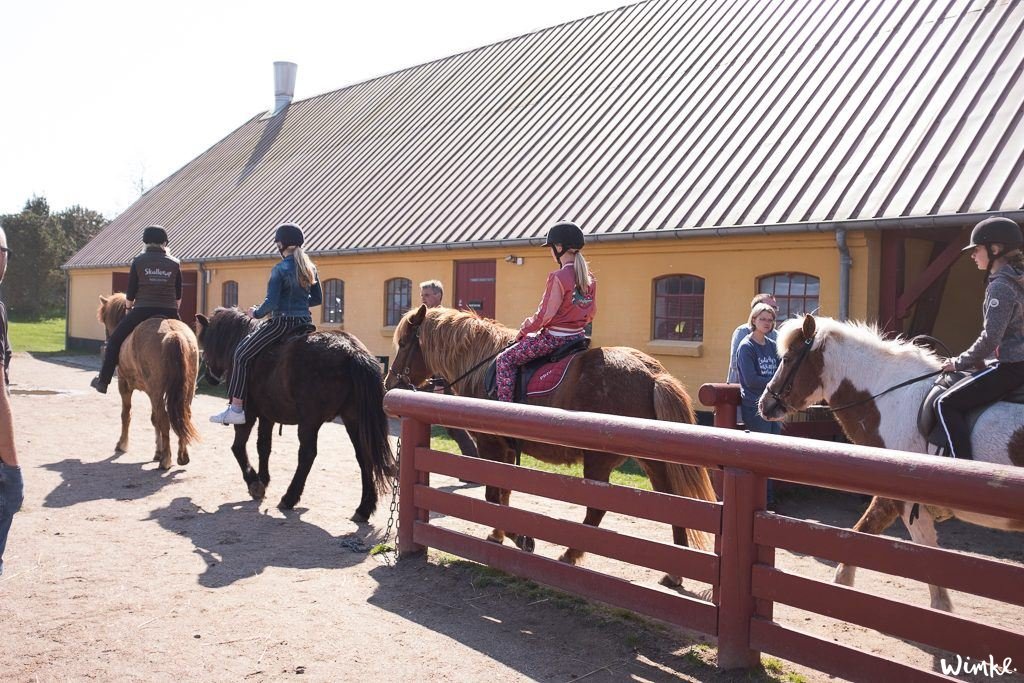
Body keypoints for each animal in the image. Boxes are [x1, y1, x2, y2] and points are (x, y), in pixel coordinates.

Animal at [97, 294, 199, 471]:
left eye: (104, 318)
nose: (106, 339)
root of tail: (173, 334)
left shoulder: (125, 385)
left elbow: (126, 414)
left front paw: (122, 444)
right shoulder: (152, 393)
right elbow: (154, 419)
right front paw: (158, 451)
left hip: (155, 391)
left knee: (164, 419)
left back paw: (166, 460)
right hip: (186, 390)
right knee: (183, 416)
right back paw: (181, 456)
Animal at [195, 307, 395, 520]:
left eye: (205, 343)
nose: (210, 377)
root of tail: (352, 351)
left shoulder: (248, 414)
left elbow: (238, 447)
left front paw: (254, 482)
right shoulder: (267, 416)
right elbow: (263, 446)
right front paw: (263, 479)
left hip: (310, 421)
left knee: (307, 454)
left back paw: (289, 497)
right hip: (353, 419)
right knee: (364, 455)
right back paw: (364, 508)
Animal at [380, 307, 716, 585]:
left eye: (405, 343)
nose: (389, 384)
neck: (480, 364)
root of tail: (652, 374)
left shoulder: (490, 446)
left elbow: (492, 496)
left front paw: (521, 538)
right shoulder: (505, 451)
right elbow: (503, 495)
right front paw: (498, 533)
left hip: (598, 460)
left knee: (596, 511)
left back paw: (570, 554)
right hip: (651, 460)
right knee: (673, 503)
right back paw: (674, 572)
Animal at [761, 317, 1024, 614]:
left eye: (787, 358)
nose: (764, 404)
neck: (890, 399)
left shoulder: (909, 502)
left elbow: (930, 561)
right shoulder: (888, 497)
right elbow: (859, 534)